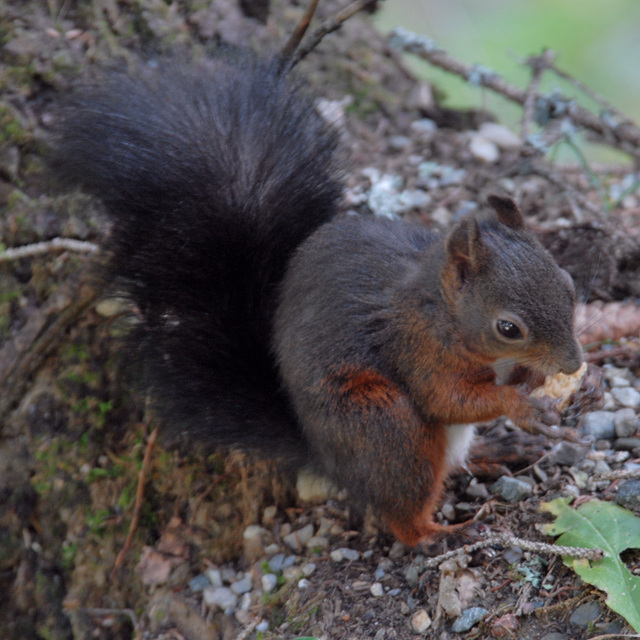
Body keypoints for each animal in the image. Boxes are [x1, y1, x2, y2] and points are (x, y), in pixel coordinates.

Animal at [53, 53, 584, 544]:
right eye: (508, 328)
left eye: (569, 283)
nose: (575, 364)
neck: (443, 312)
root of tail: (325, 456)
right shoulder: (417, 348)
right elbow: (447, 397)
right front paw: (520, 404)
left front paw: (535, 382)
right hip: (385, 425)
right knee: (402, 510)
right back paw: (444, 533)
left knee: (454, 462)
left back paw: (500, 452)